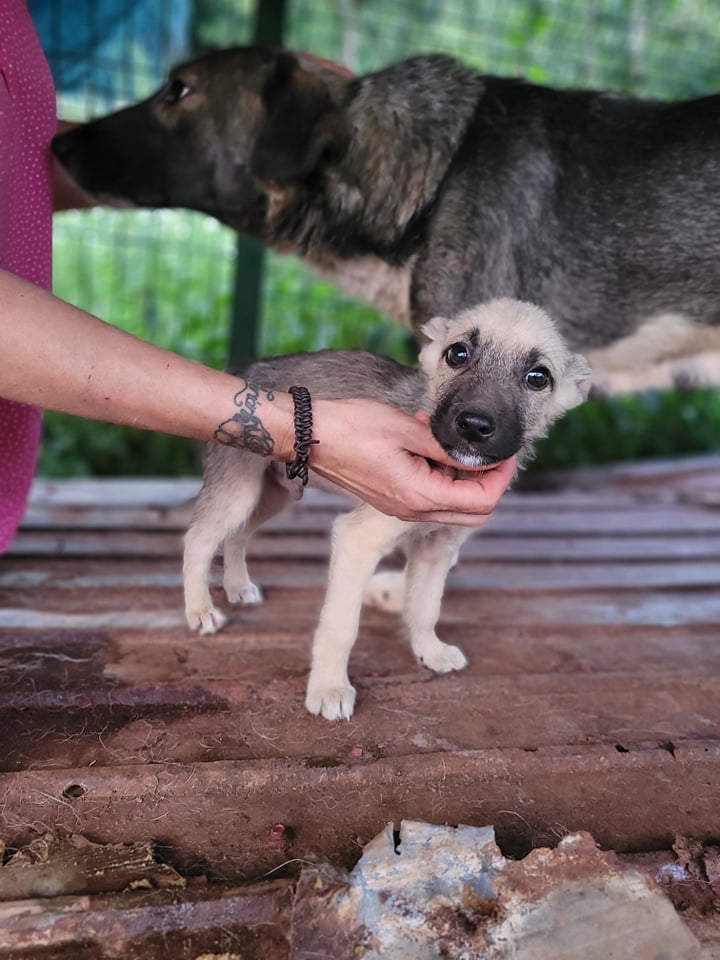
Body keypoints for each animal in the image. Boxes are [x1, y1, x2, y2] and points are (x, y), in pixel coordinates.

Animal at [181, 300, 592, 720]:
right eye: (457, 354)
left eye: (538, 377)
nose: (474, 426)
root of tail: (242, 373)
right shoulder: (358, 539)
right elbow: (341, 626)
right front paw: (329, 688)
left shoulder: (437, 548)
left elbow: (425, 606)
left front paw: (429, 652)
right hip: (241, 490)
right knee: (198, 539)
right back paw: (200, 610)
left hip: (273, 494)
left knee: (237, 535)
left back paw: (237, 587)